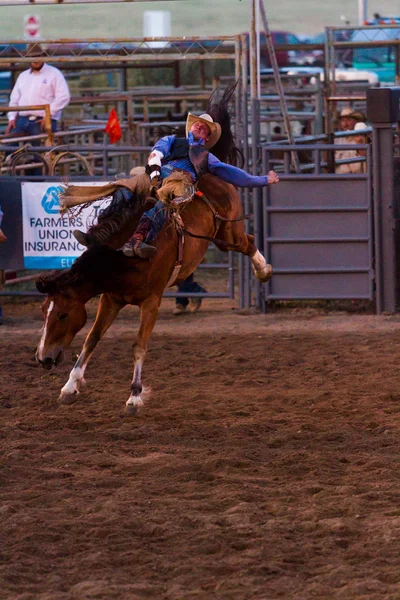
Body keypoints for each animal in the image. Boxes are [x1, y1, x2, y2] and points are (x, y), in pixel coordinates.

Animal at [35, 173, 272, 414]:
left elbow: (139, 347)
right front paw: (69, 387)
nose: (43, 358)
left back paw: (263, 270)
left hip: (229, 236)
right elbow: (91, 338)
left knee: (249, 241)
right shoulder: (110, 299)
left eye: (63, 315)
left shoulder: (151, 302)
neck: (121, 257)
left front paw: (134, 397)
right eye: (43, 311)